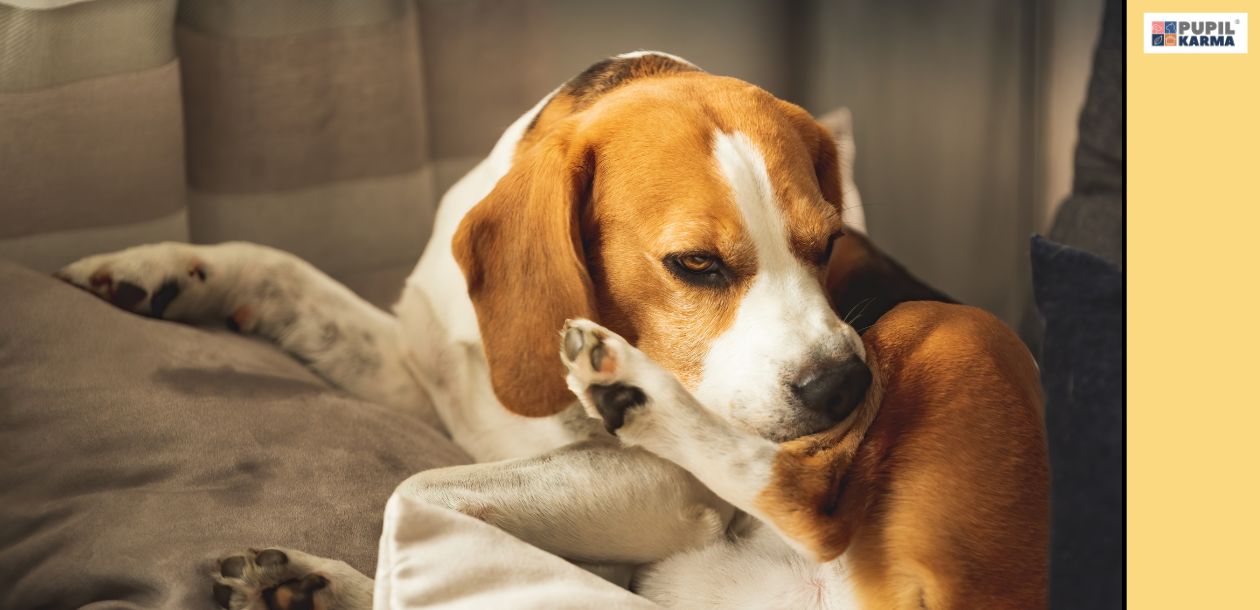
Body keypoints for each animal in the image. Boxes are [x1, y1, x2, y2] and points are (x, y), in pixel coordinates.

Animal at [56, 52, 1043, 610]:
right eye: (696, 265)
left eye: (829, 242)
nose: (847, 390)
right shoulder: (426, 375)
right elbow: (284, 271)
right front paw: (168, 268)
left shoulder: (661, 484)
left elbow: (415, 493)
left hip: (954, 337)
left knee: (809, 504)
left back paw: (632, 390)